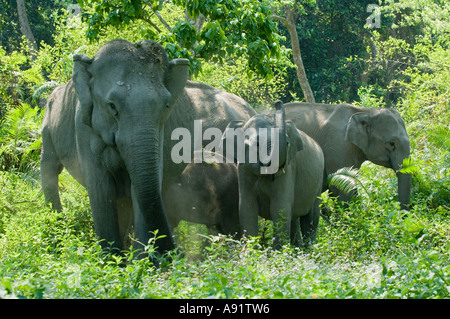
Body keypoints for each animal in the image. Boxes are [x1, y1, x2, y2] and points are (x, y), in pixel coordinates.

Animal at [42, 40, 256, 256]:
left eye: (166, 106)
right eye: (112, 106)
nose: (177, 252)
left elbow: (140, 187)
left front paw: (142, 259)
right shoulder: (83, 127)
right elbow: (101, 189)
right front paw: (114, 259)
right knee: (50, 170)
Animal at [224, 101, 324, 249]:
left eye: (287, 143)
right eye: (256, 144)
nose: (278, 103)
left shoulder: (289, 169)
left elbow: (279, 208)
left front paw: (278, 253)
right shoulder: (244, 170)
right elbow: (247, 208)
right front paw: (252, 251)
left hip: (318, 181)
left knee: (311, 218)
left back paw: (309, 250)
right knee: (294, 218)